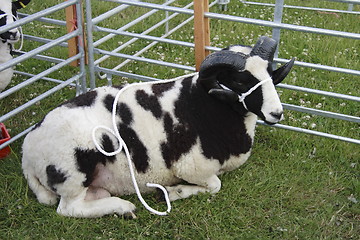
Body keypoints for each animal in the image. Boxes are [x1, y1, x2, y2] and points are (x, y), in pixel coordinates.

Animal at [21, 36, 294, 219]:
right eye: (238, 80)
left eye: (270, 72)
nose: (276, 113)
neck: (205, 104)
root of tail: (27, 149)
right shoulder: (192, 166)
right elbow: (215, 185)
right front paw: (174, 192)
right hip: (74, 168)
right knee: (69, 208)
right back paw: (123, 207)